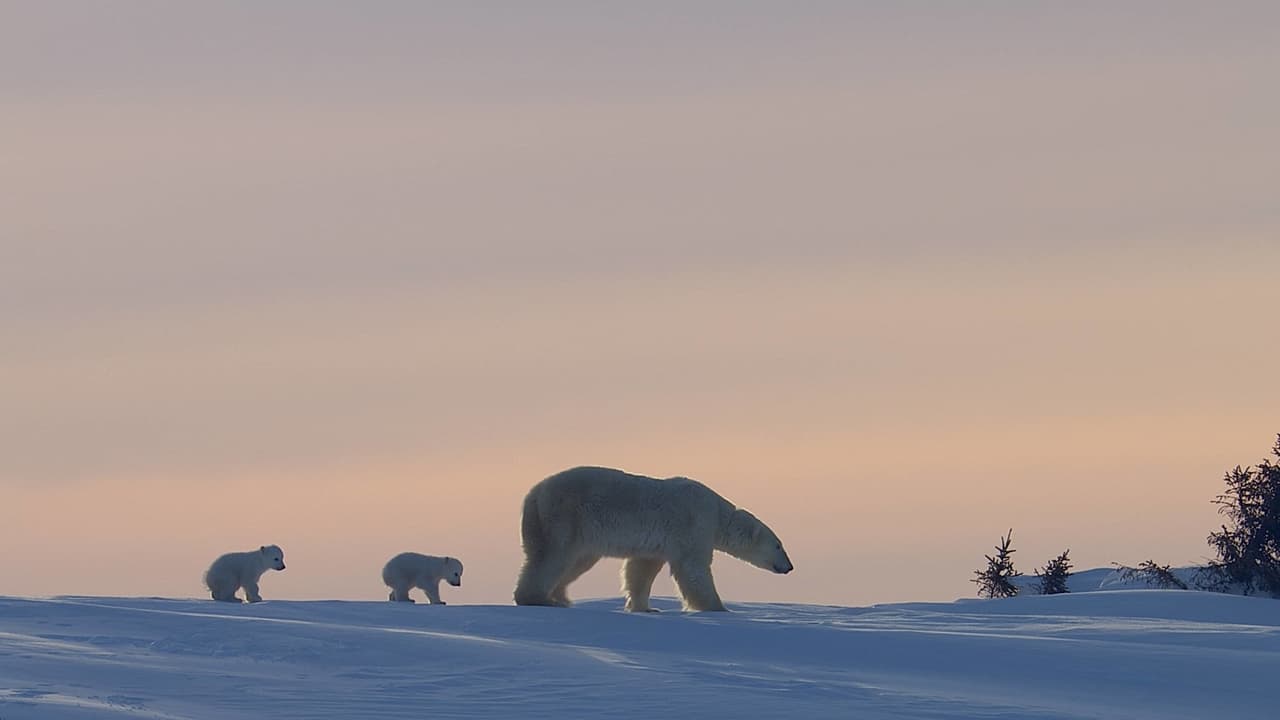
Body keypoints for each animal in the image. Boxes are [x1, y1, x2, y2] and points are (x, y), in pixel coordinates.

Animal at [509, 466, 788, 609]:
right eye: (778, 545)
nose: (789, 566)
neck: (718, 514)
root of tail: (532, 495)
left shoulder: (656, 544)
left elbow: (641, 569)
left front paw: (645, 606)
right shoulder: (693, 524)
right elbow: (693, 569)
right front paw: (718, 607)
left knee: (576, 562)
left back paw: (562, 598)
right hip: (563, 518)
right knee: (552, 558)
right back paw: (539, 599)